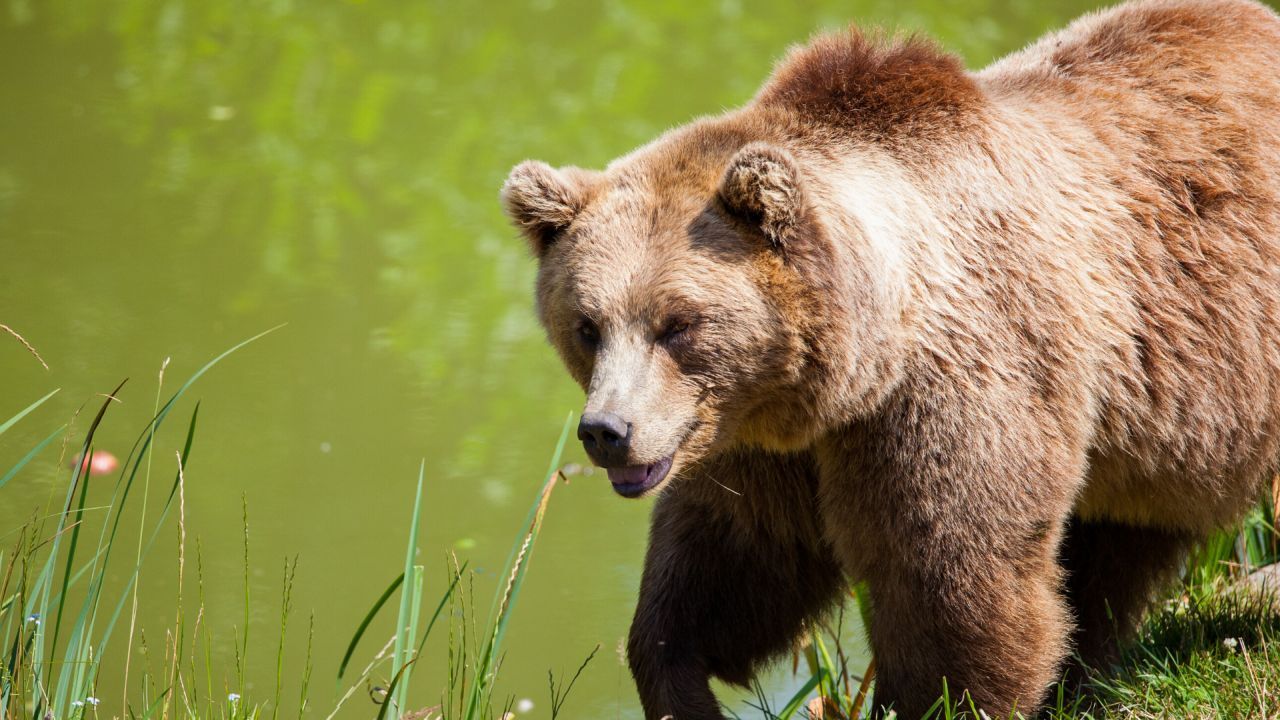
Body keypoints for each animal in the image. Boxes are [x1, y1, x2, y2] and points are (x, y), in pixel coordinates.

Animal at [499, 0, 1280, 716]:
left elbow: (950, 580)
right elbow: (734, 562)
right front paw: (678, 681)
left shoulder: (957, 385)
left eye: (678, 324)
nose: (607, 431)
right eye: (588, 325)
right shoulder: (757, 440)